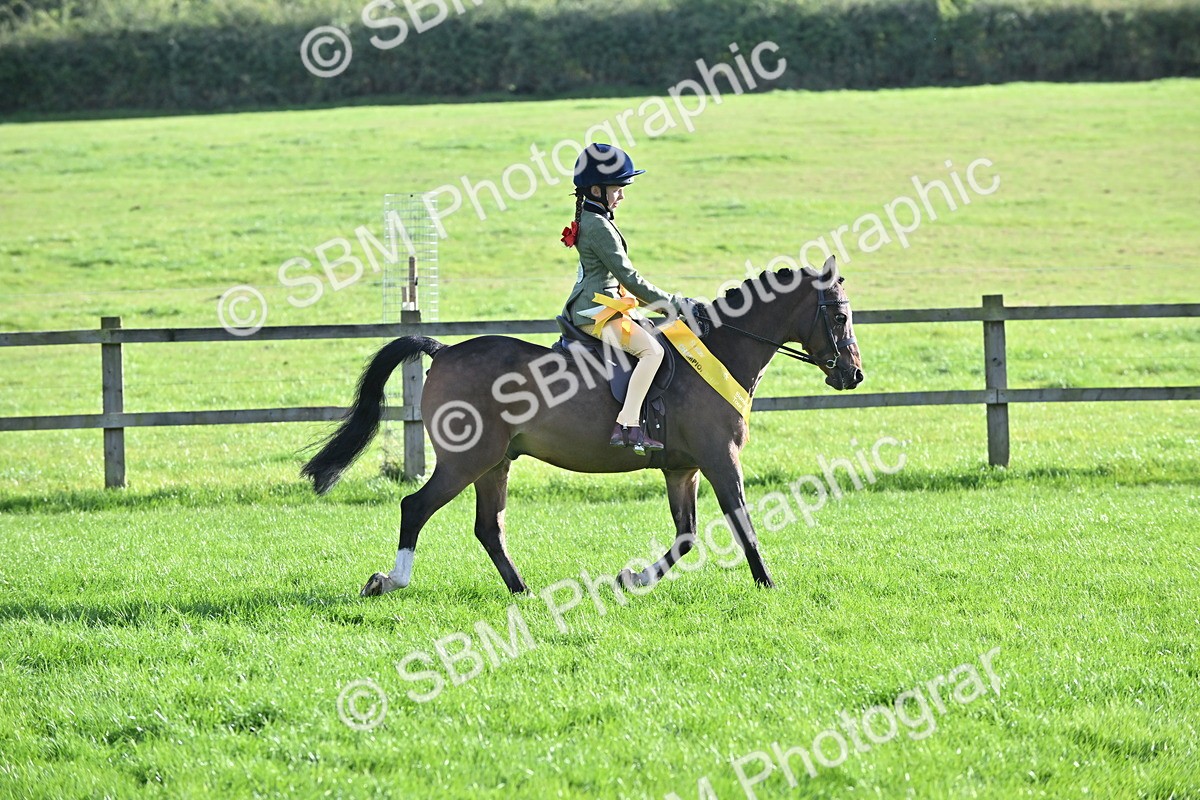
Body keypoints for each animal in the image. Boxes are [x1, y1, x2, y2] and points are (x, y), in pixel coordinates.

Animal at [302, 255, 864, 596]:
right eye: (838, 316)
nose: (853, 374)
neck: (720, 350)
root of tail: (443, 352)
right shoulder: (720, 459)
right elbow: (742, 522)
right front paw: (767, 583)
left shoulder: (681, 470)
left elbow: (685, 536)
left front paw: (633, 578)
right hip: (467, 460)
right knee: (415, 507)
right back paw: (391, 580)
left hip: (495, 463)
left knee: (488, 527)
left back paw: (522, 590)